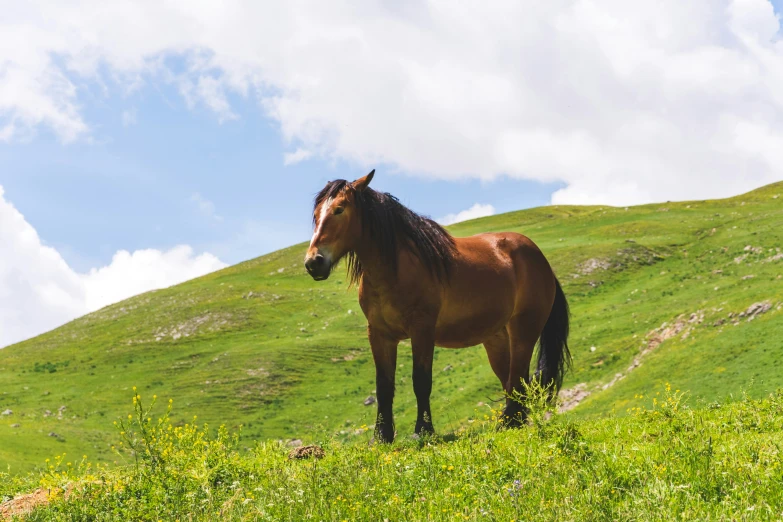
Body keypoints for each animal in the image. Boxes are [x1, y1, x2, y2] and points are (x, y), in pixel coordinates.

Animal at [304, 170, 568, 438]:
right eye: (316, 214)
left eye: (339, 209)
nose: (314, 262)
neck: (396, 269)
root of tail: (540, 260)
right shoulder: (379, 334)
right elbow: (383, 386)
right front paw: (381, 436)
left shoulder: (422, 330)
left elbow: (421, 380)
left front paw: (423, 430)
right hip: (497, 339)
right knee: (512, 381)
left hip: (523, 331)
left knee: (517, 379)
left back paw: (509, 422)